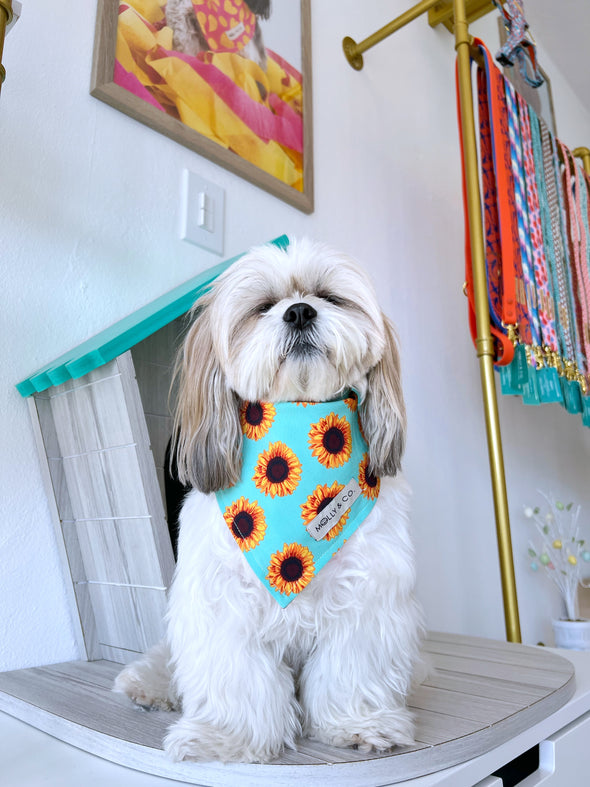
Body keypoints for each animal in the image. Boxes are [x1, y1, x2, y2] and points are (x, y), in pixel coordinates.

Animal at [115, 239, 428, 764]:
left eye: (329, 297)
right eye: (262, 307)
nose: (299, 311)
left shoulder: (365, 599)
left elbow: (350, 671)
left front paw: (359, 724)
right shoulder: (222, 604)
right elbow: (236, 679)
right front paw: (224, 737)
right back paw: (149, 684)